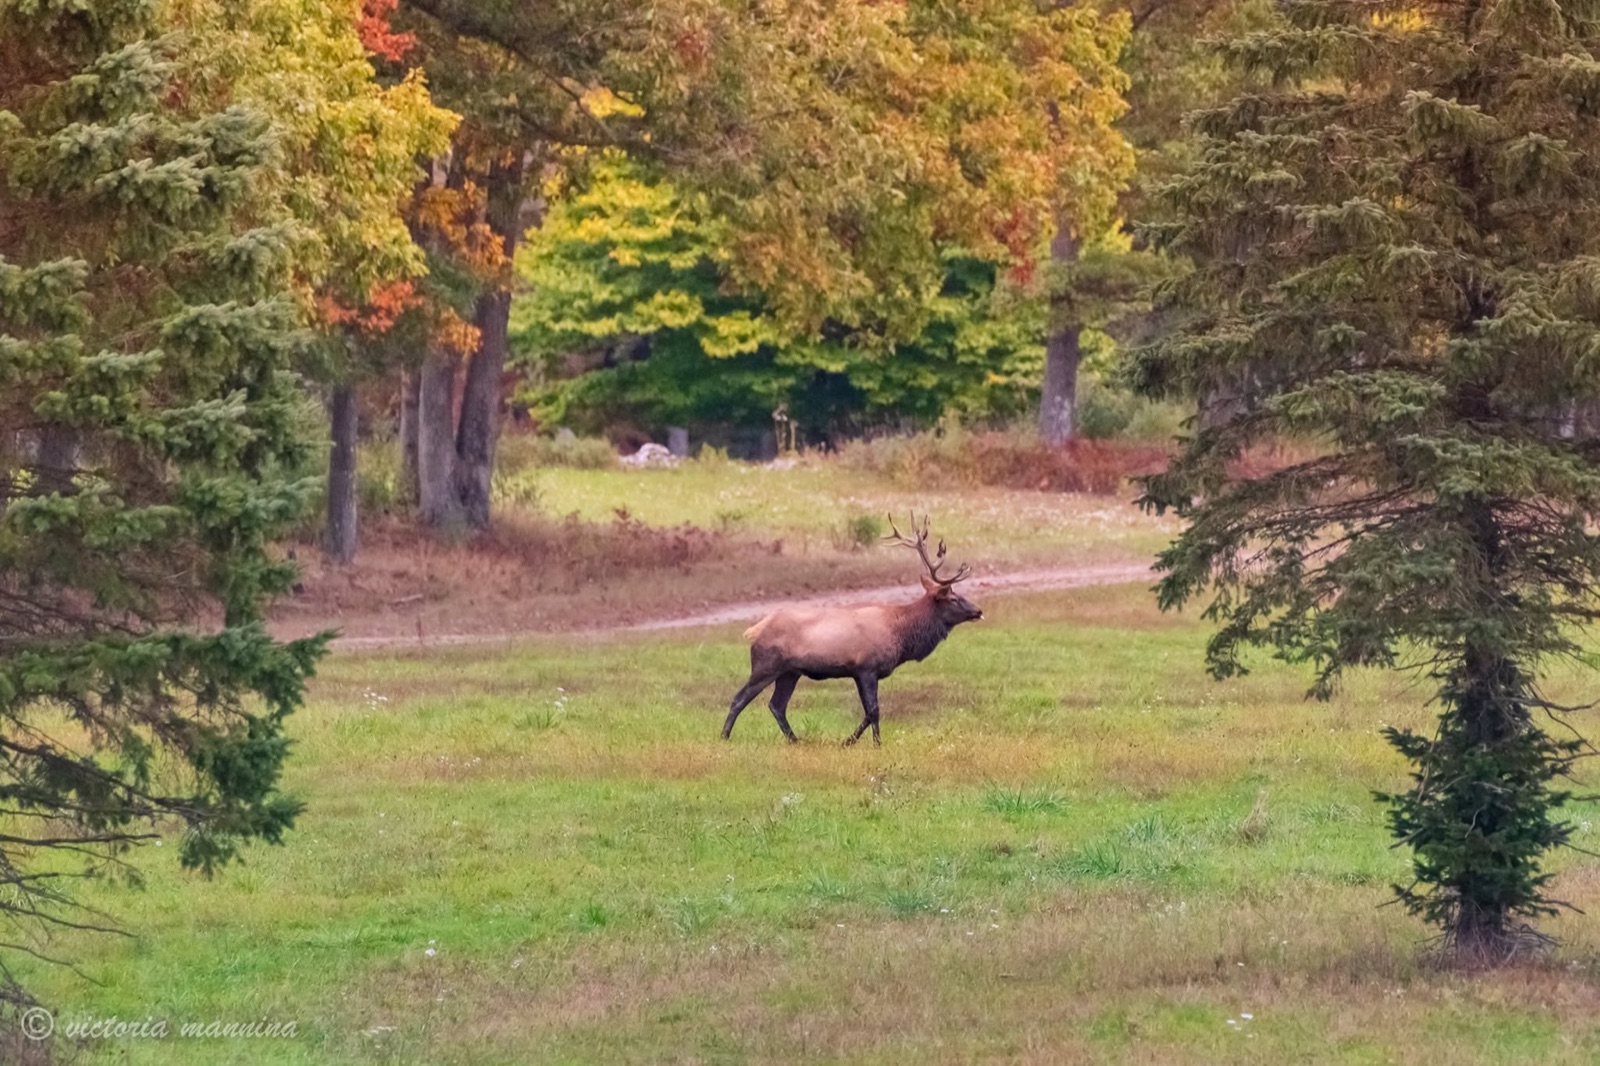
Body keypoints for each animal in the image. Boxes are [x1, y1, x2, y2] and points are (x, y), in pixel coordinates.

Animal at [722, 514, 984, 745]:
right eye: (954, 598)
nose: (978, 610)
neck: (902, 635)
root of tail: (755, 630)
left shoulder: (859, 672)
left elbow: (869, 711)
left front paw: (853, 741)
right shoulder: (867, 667)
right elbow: (874, 710)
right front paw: (871, 744)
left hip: (790, 672)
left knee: (776, 705)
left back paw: (795, 740)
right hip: (766, 665)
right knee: (740, 698)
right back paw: (724, 736)